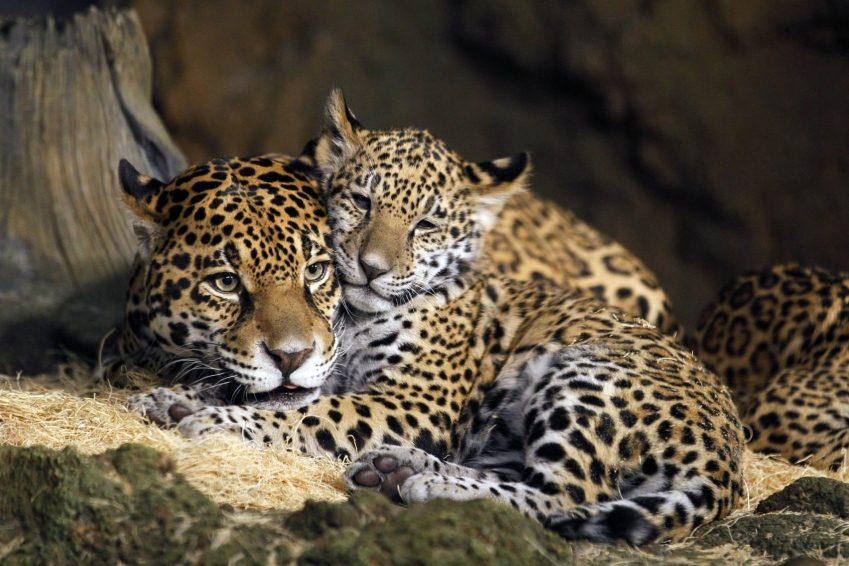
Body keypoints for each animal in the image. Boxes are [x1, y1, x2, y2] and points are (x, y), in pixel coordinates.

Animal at [136, 90, 744, 545]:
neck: (355, 316)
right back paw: (399, 470)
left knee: (567, 496)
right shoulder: (326, 368)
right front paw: (176, 400)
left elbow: (310, 414)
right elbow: (285, 394)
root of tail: (731, 463)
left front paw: (213, 420)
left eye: (425, 225)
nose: (371, 268)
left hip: (587, 377)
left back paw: (431, 487)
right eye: (362, 202)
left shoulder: (413, 398)